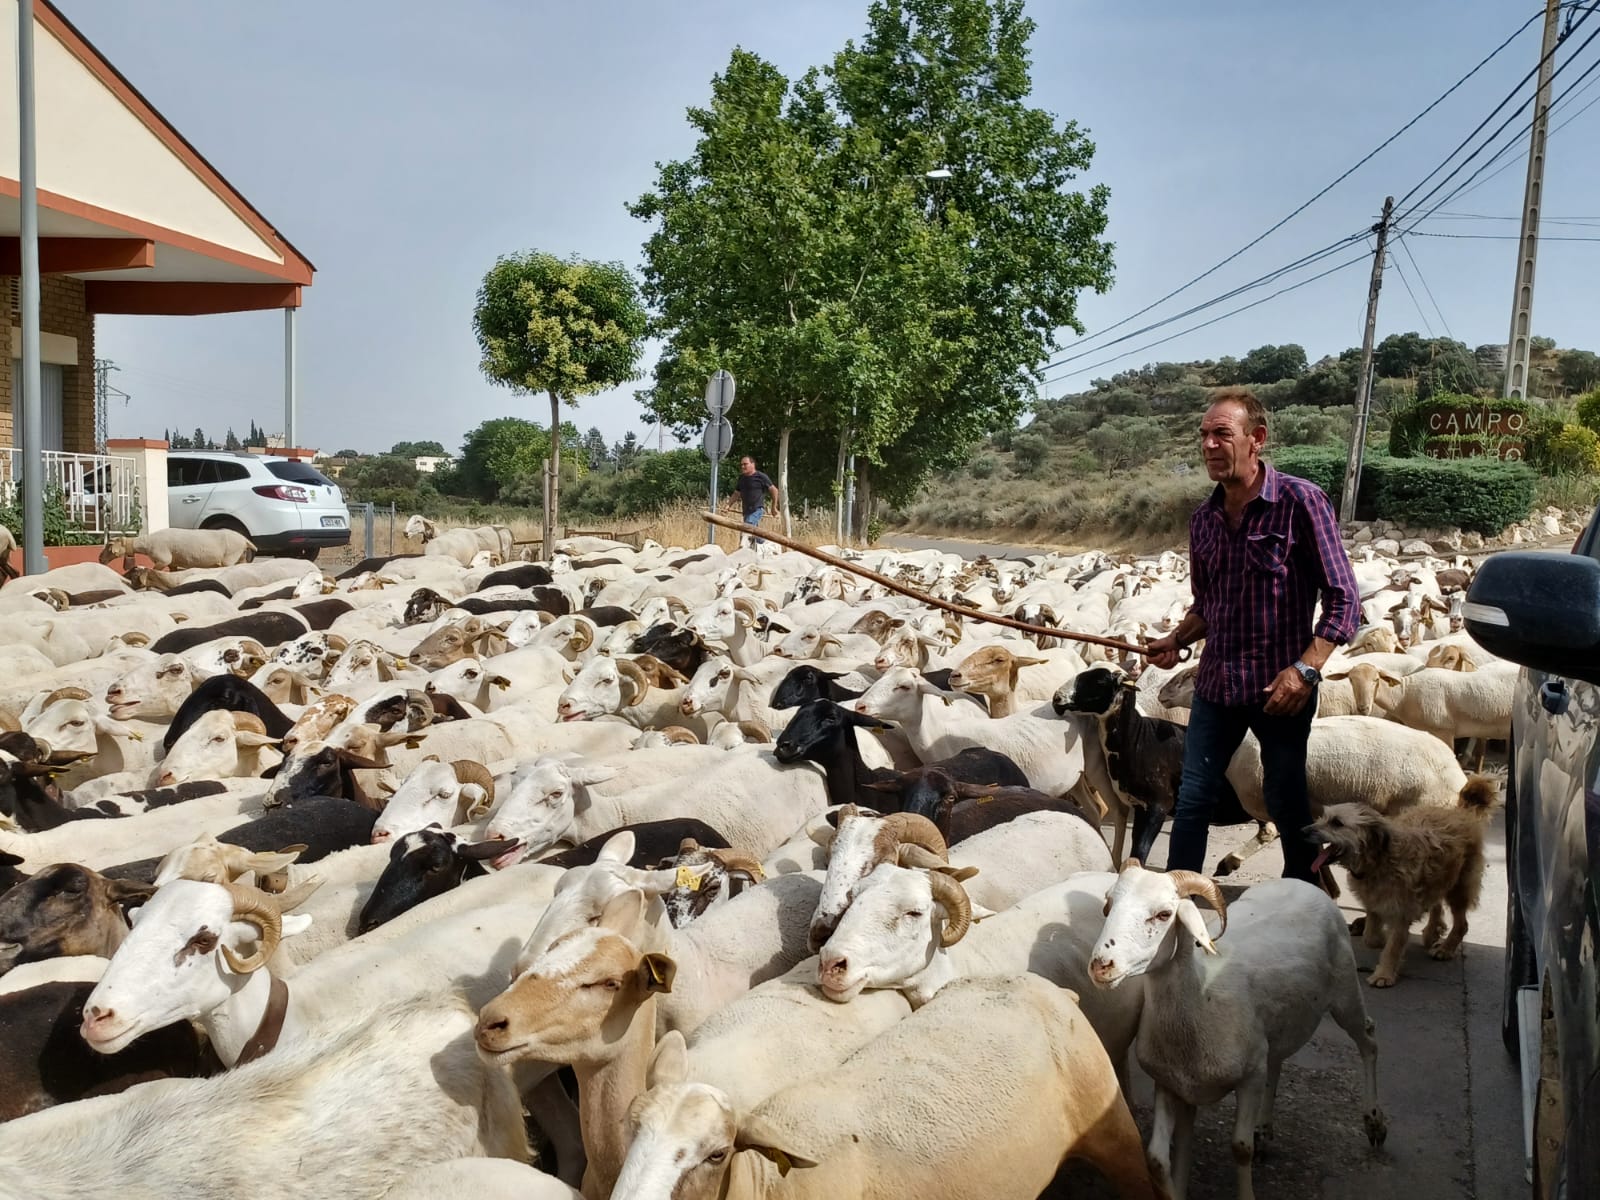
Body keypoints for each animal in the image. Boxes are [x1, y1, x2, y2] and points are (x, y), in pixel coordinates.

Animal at [1305, 780, 1491, 985]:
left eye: (1337, 823)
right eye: (1322, 817)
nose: (1303, 831)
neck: (1378, 860)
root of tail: (1462, 812)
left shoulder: (1401, 911)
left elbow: (1393, 945)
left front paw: (1384, 974)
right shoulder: (1374, 904)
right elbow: (1370, 938)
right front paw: (1380, 939)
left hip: (1459, 888)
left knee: (1461, 923)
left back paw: (1446, 948)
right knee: (1435, 903)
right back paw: (1431, 931)